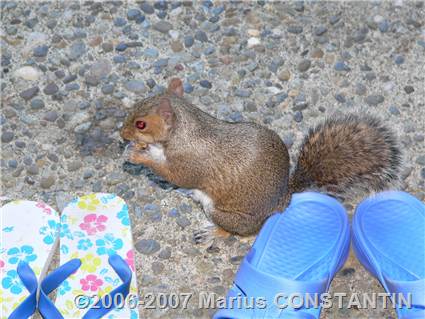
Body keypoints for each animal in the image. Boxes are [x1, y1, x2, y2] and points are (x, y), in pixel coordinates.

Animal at [120, 77, 400, 238]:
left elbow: (175, 175)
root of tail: (282, 201)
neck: (186, 130)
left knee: (234, 232)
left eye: (141, 124)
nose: (122, 134)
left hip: (226, 214)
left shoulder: (189, 162)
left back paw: (214, 232)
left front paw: (137, 155)